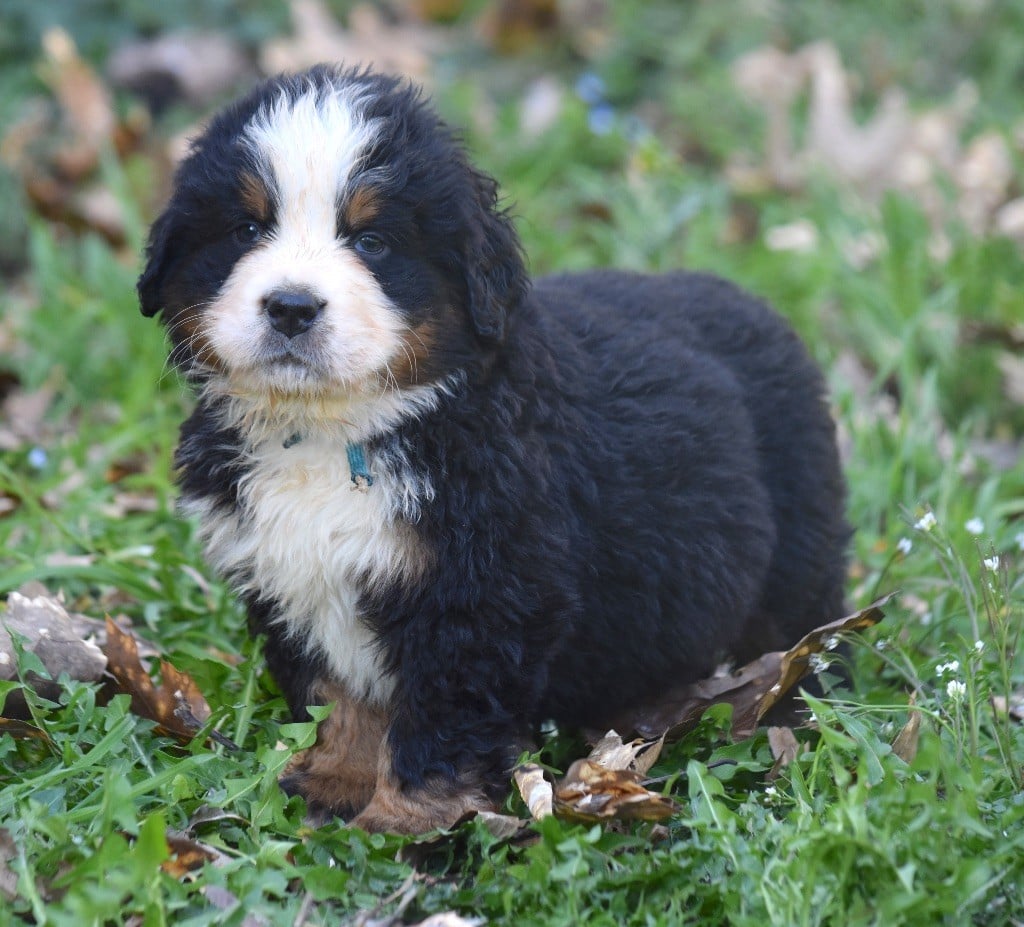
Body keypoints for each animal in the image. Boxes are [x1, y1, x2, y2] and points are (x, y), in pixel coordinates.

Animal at [140, 63, 851, 831]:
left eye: (373, 241)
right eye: (245, 228)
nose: (292, 307)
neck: (341, 432)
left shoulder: (484, 594)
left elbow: (441, 718)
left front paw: (410, 819)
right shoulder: (294, 579)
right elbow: (341, 695)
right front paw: (337, 777)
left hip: (795, 553)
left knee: (806, 628)